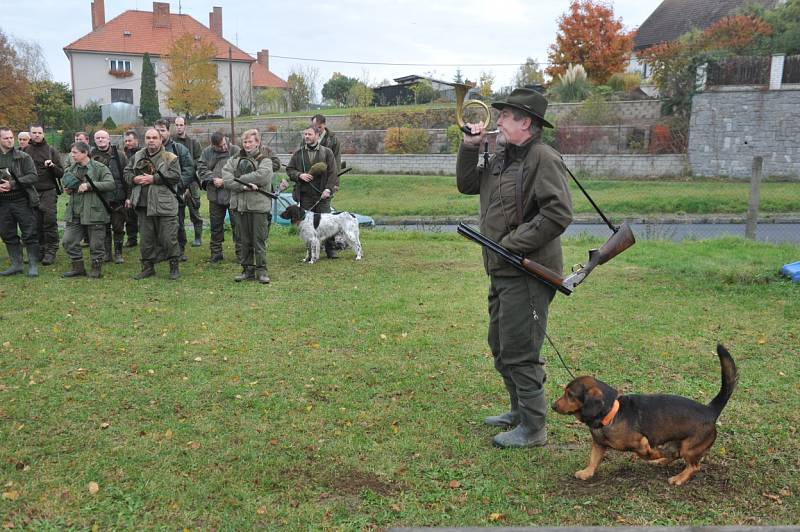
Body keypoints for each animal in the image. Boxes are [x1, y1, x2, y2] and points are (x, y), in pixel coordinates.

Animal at [552, 344, 736, 486]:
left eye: (570, 395)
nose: (553, 406)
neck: (612, 413)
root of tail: (709, 410)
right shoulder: (599, 444)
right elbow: (593, 460)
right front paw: (586, 472)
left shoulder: (641, 442)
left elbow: (645, 453)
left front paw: (655, 455)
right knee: (675, 455)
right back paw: (662, 462)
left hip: (689, 448)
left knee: (693, 466)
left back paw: (678, 477)